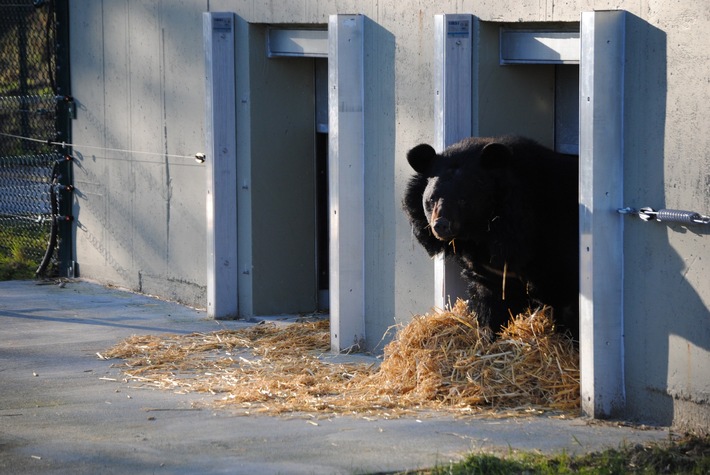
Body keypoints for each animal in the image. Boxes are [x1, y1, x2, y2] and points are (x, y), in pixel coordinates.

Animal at [404, 136, 580, 340]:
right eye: (431, 199)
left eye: (463, 200)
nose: (440, 225)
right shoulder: (491, 269)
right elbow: (491, 301)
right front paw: (488, 335)